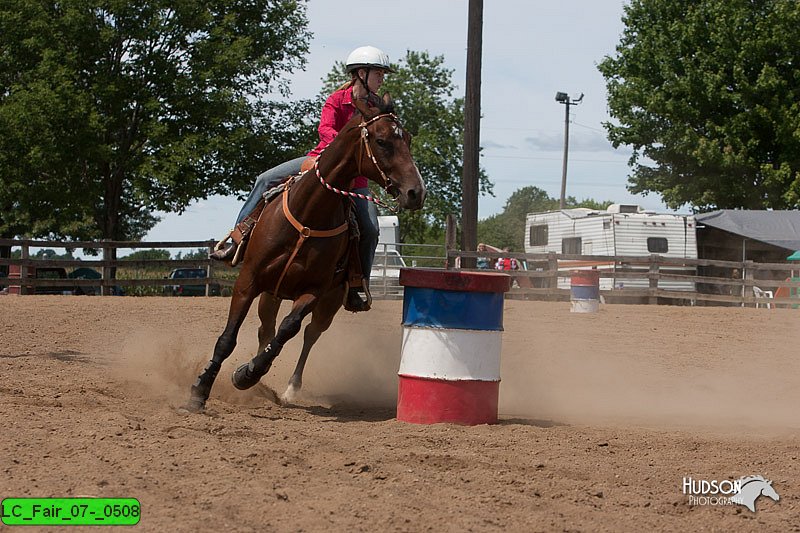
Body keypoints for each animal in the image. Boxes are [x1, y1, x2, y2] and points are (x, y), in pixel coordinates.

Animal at [186, 93, 424, 412]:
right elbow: (228, 338)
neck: (309, 216)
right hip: (271, 294)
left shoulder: (314, 291)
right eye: (382, 141)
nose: (416, 192)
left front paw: (248, 374)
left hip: (330, 302)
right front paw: (200, 390)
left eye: (408, 139)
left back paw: (286, 387)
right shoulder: (248, 280)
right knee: (266, 329)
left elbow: (289, 329)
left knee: (309, 335)